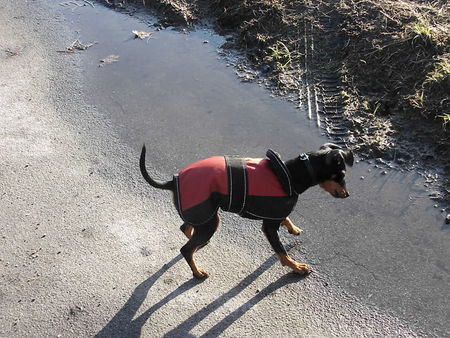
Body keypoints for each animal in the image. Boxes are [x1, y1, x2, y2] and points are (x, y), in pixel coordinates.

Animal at [139, 143, 354, 278]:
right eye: (341, 175)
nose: (347, 194)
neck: (291, 174)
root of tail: (172, 181)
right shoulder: (269, 227)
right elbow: (282, 252)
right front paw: (297, 267)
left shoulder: (275, 214)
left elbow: (285, 217)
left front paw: (292, 228)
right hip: (209, 220)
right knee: (186, 249)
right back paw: (197, 272)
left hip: (203, 214)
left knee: (186, 228)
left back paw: (196, 243)